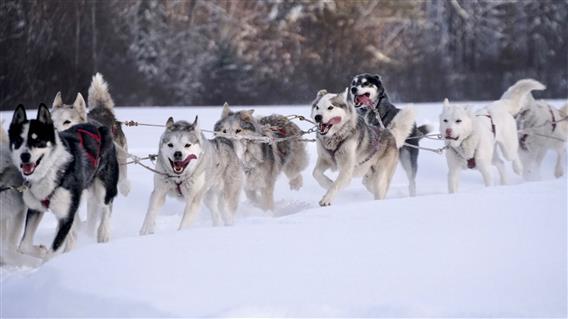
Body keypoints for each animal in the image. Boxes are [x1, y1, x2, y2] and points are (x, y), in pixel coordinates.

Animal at [7, 104, 117, 262]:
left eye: (38, 141)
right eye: (18, 141)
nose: (24, 156)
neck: (51, 169)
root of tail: (98, 126)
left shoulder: (66, 216)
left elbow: (53, 251)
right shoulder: (36, 208)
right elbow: (23, 246)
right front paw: (41, 251)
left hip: (103, 188)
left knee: (107, 206)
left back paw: (103, 232)